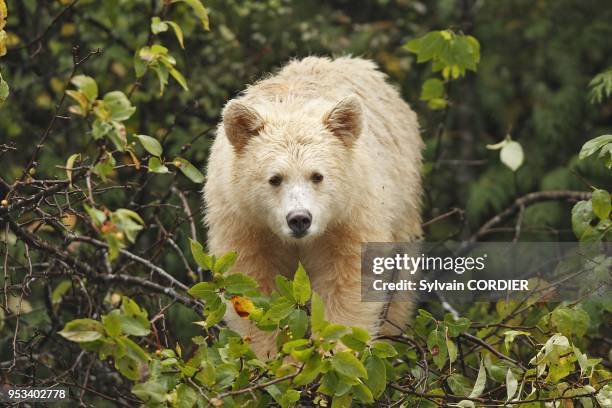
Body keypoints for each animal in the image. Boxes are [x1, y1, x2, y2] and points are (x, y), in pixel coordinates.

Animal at [203, 55, 424, 356]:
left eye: (317, 176)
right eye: (275, 178)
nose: (299, 219)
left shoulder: (349, 215)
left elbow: (349, 279)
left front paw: (334, 351)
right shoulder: (244, 221)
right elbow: (252, 286)